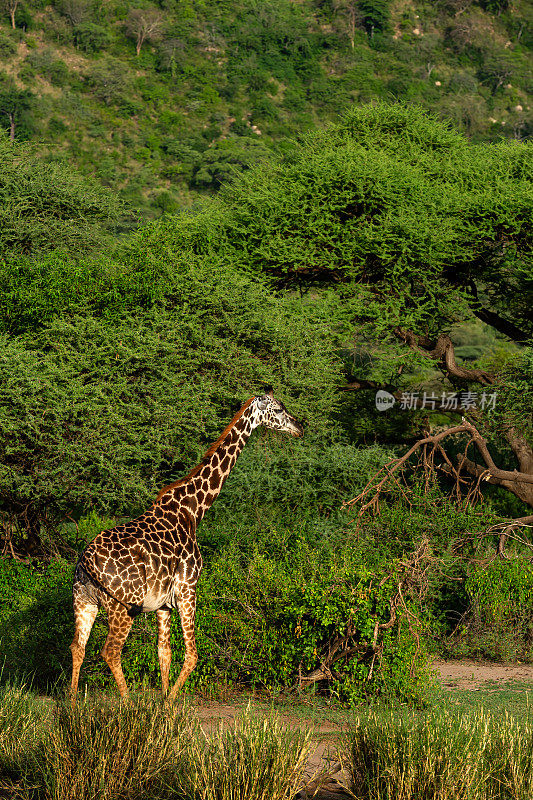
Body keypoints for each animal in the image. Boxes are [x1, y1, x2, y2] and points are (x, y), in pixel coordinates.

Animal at [69, 396, 304, 708]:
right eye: (278, 409)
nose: (299, 428)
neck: (193, 510)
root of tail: (86, 561)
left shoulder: (163, 604)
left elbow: (164, 653)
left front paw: (162, 704)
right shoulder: (188, 587)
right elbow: (192, 655)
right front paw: (168, 704)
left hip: (84, 602)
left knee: (77, 647)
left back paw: (71, 708)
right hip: (123, 606)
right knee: (110, 651)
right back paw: (129, 706)